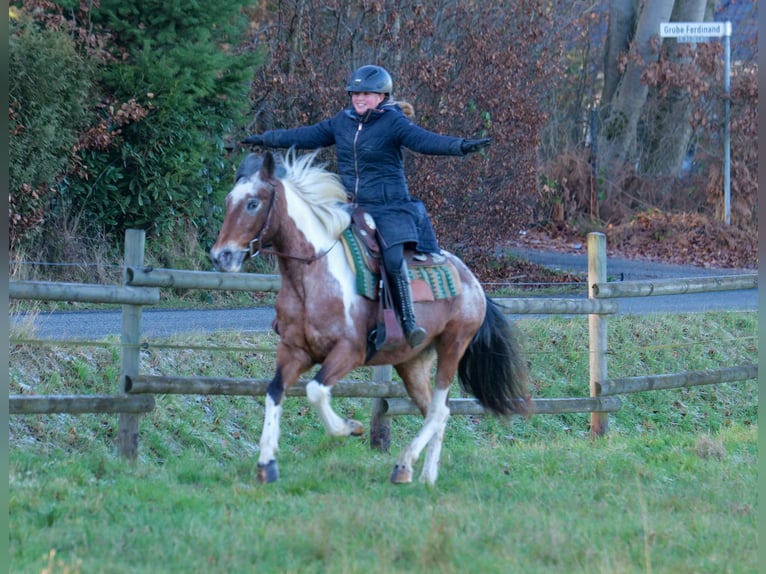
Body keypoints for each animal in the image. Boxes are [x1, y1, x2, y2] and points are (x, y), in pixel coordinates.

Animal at [212, 150, 536, 486]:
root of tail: (473, 282)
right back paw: (425, 475)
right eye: (228, 201)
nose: (221, 256)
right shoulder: (294, 351)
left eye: (253, 203)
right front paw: (267, 463)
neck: (312, 277)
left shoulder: (349, 352)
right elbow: (274, 392)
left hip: (453, 346)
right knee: (438, 411)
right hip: (412, 362)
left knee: (437, 410)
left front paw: (349, 427)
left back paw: (405, 464)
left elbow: (315, 391)